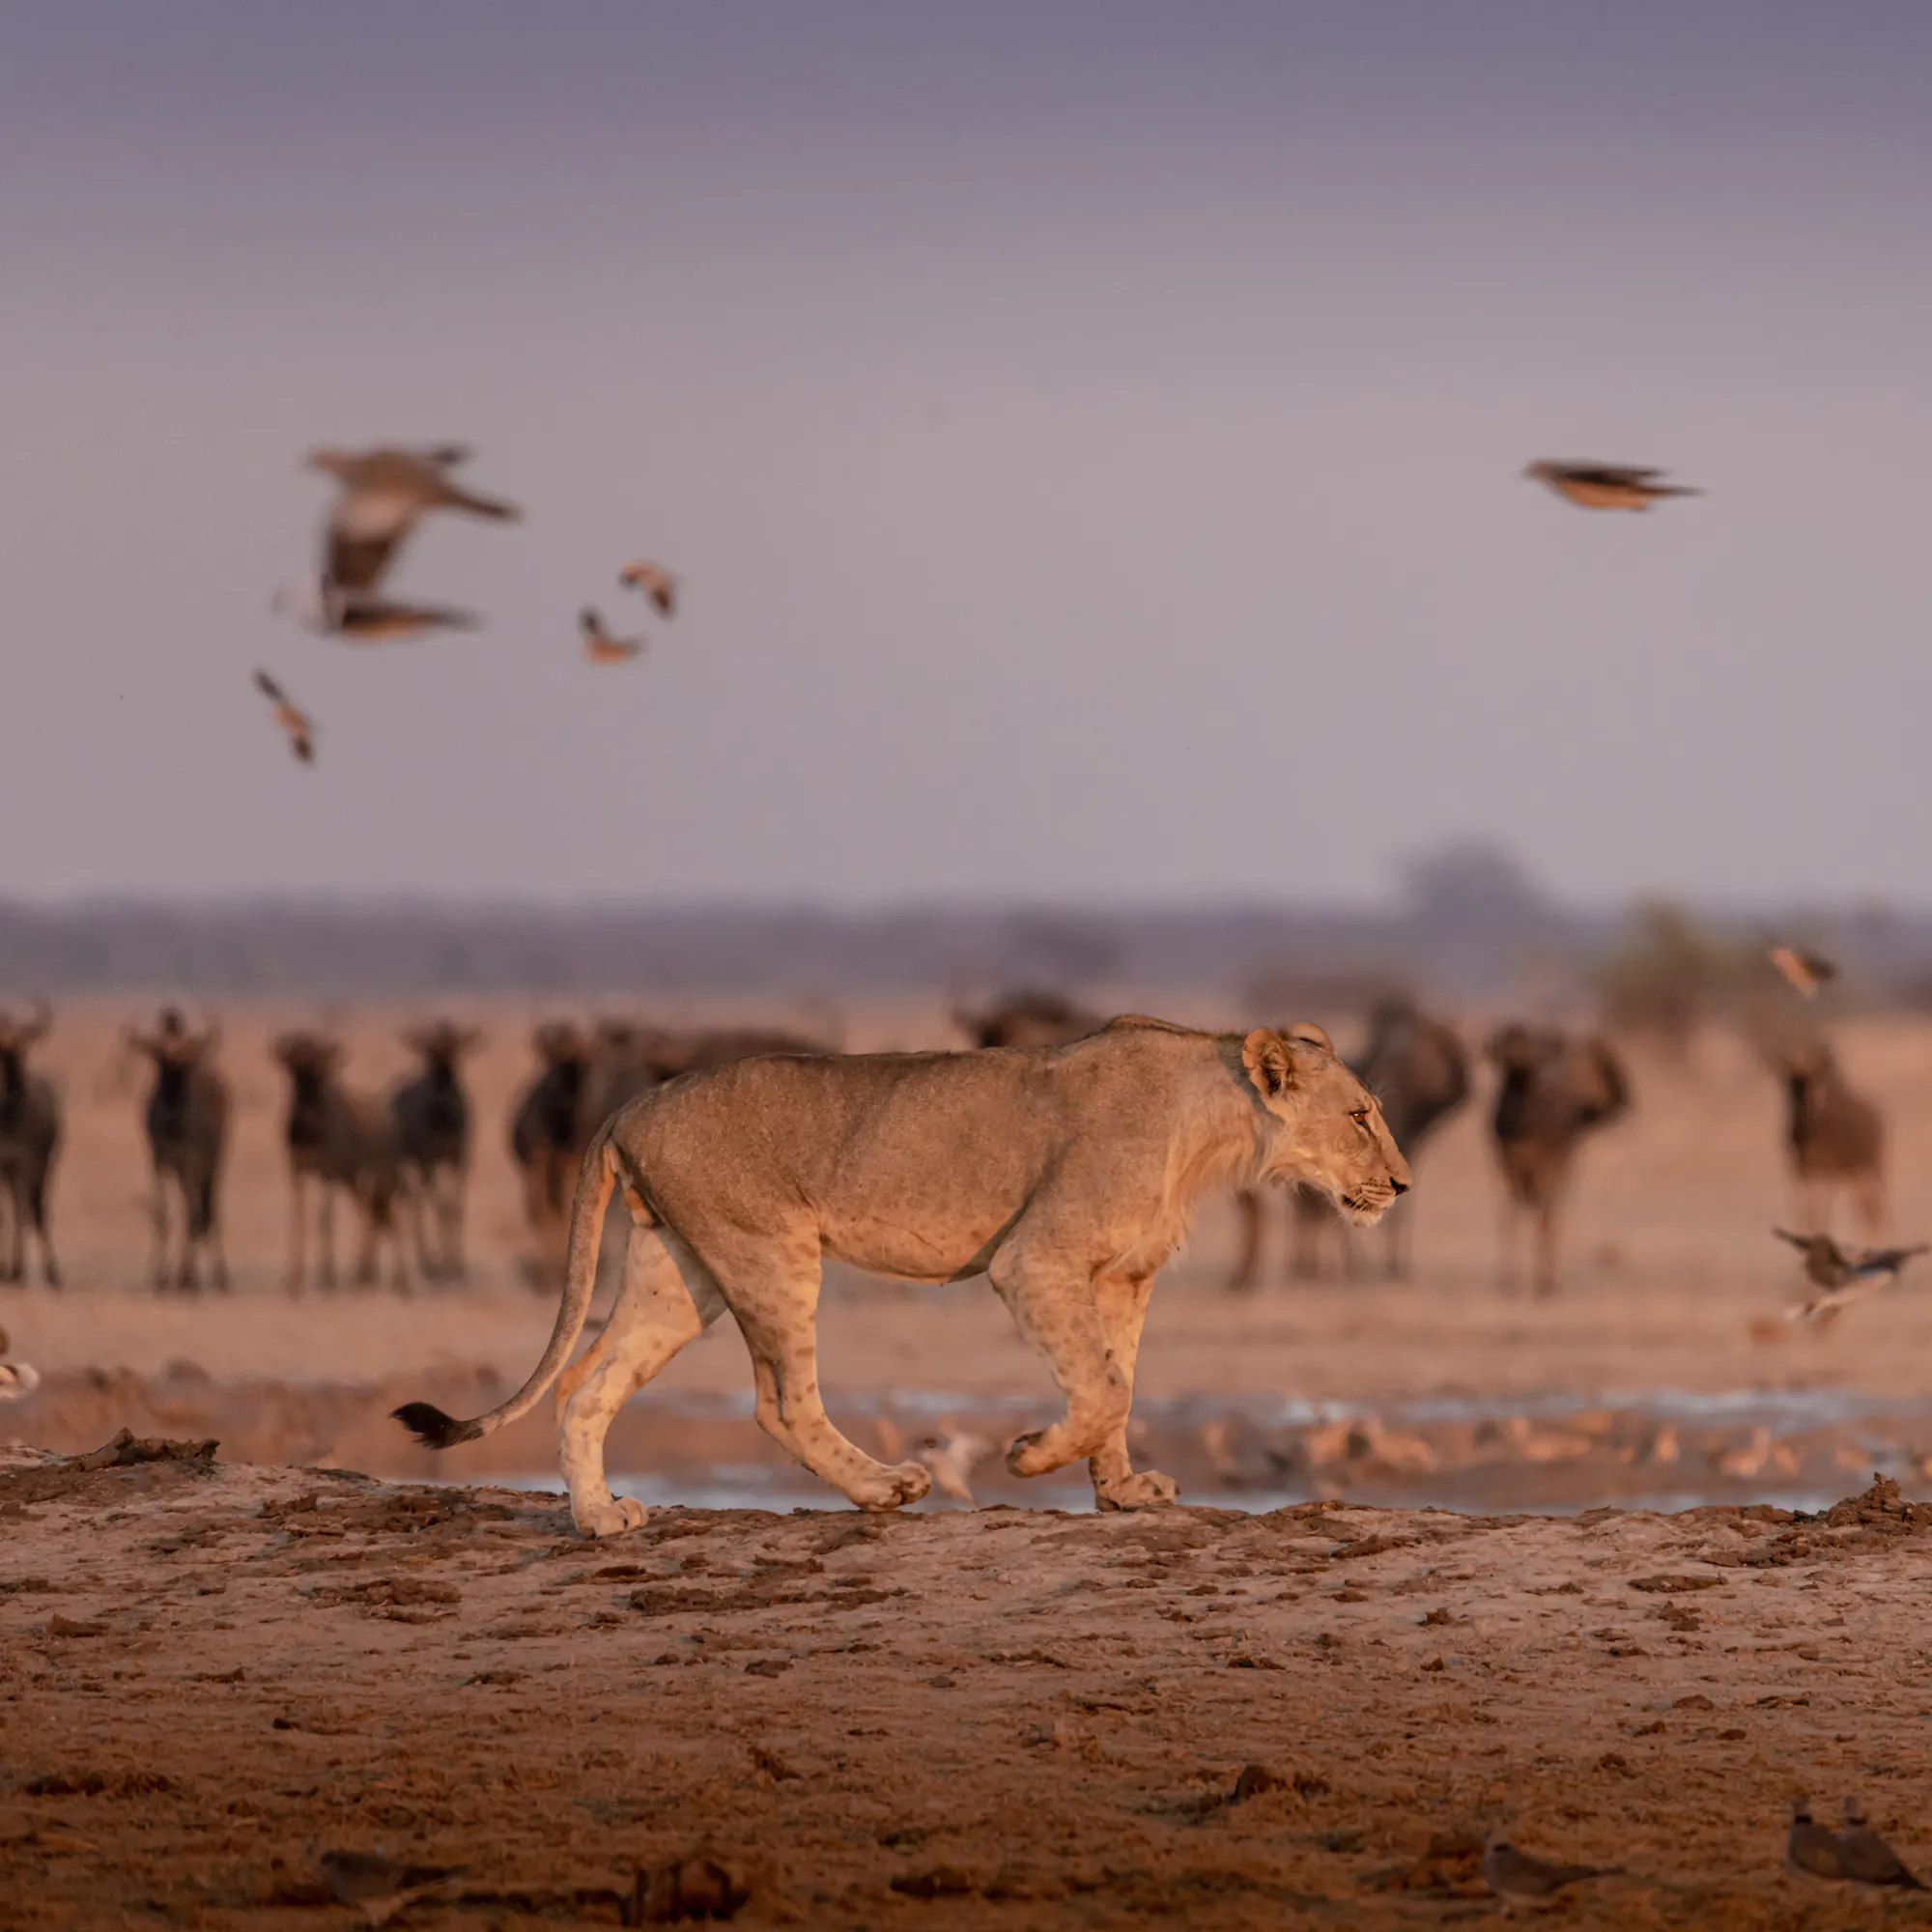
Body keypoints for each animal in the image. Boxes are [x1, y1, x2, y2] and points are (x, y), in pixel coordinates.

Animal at [126, 1008, 229, 1292]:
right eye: (159, 1060)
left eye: (185, 1064)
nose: (172, 1115)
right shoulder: (160, 1162)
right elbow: (162, 1212)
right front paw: (160, 1277)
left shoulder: (192, 1162)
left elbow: (190, 1213)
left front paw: (186, 1277)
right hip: (184, 1173)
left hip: (214, 1165)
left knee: (211, 1208)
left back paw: (221, 1276)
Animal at [396, 1015, 1410, 1537]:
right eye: (1361, 1115)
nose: (1403, 1184)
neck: (1211, 1125)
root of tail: (631, 1103)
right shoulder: (1035, 1258)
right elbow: (1102, 1388)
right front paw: (1030, 1455)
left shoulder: (1123, 1277)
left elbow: (1118, 1380)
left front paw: (1120, 1493)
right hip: (770, 1252)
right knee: (781, 1402)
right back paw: (885, 1488)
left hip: (677, 1271)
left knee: (585, 1385)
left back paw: (600, 1517)